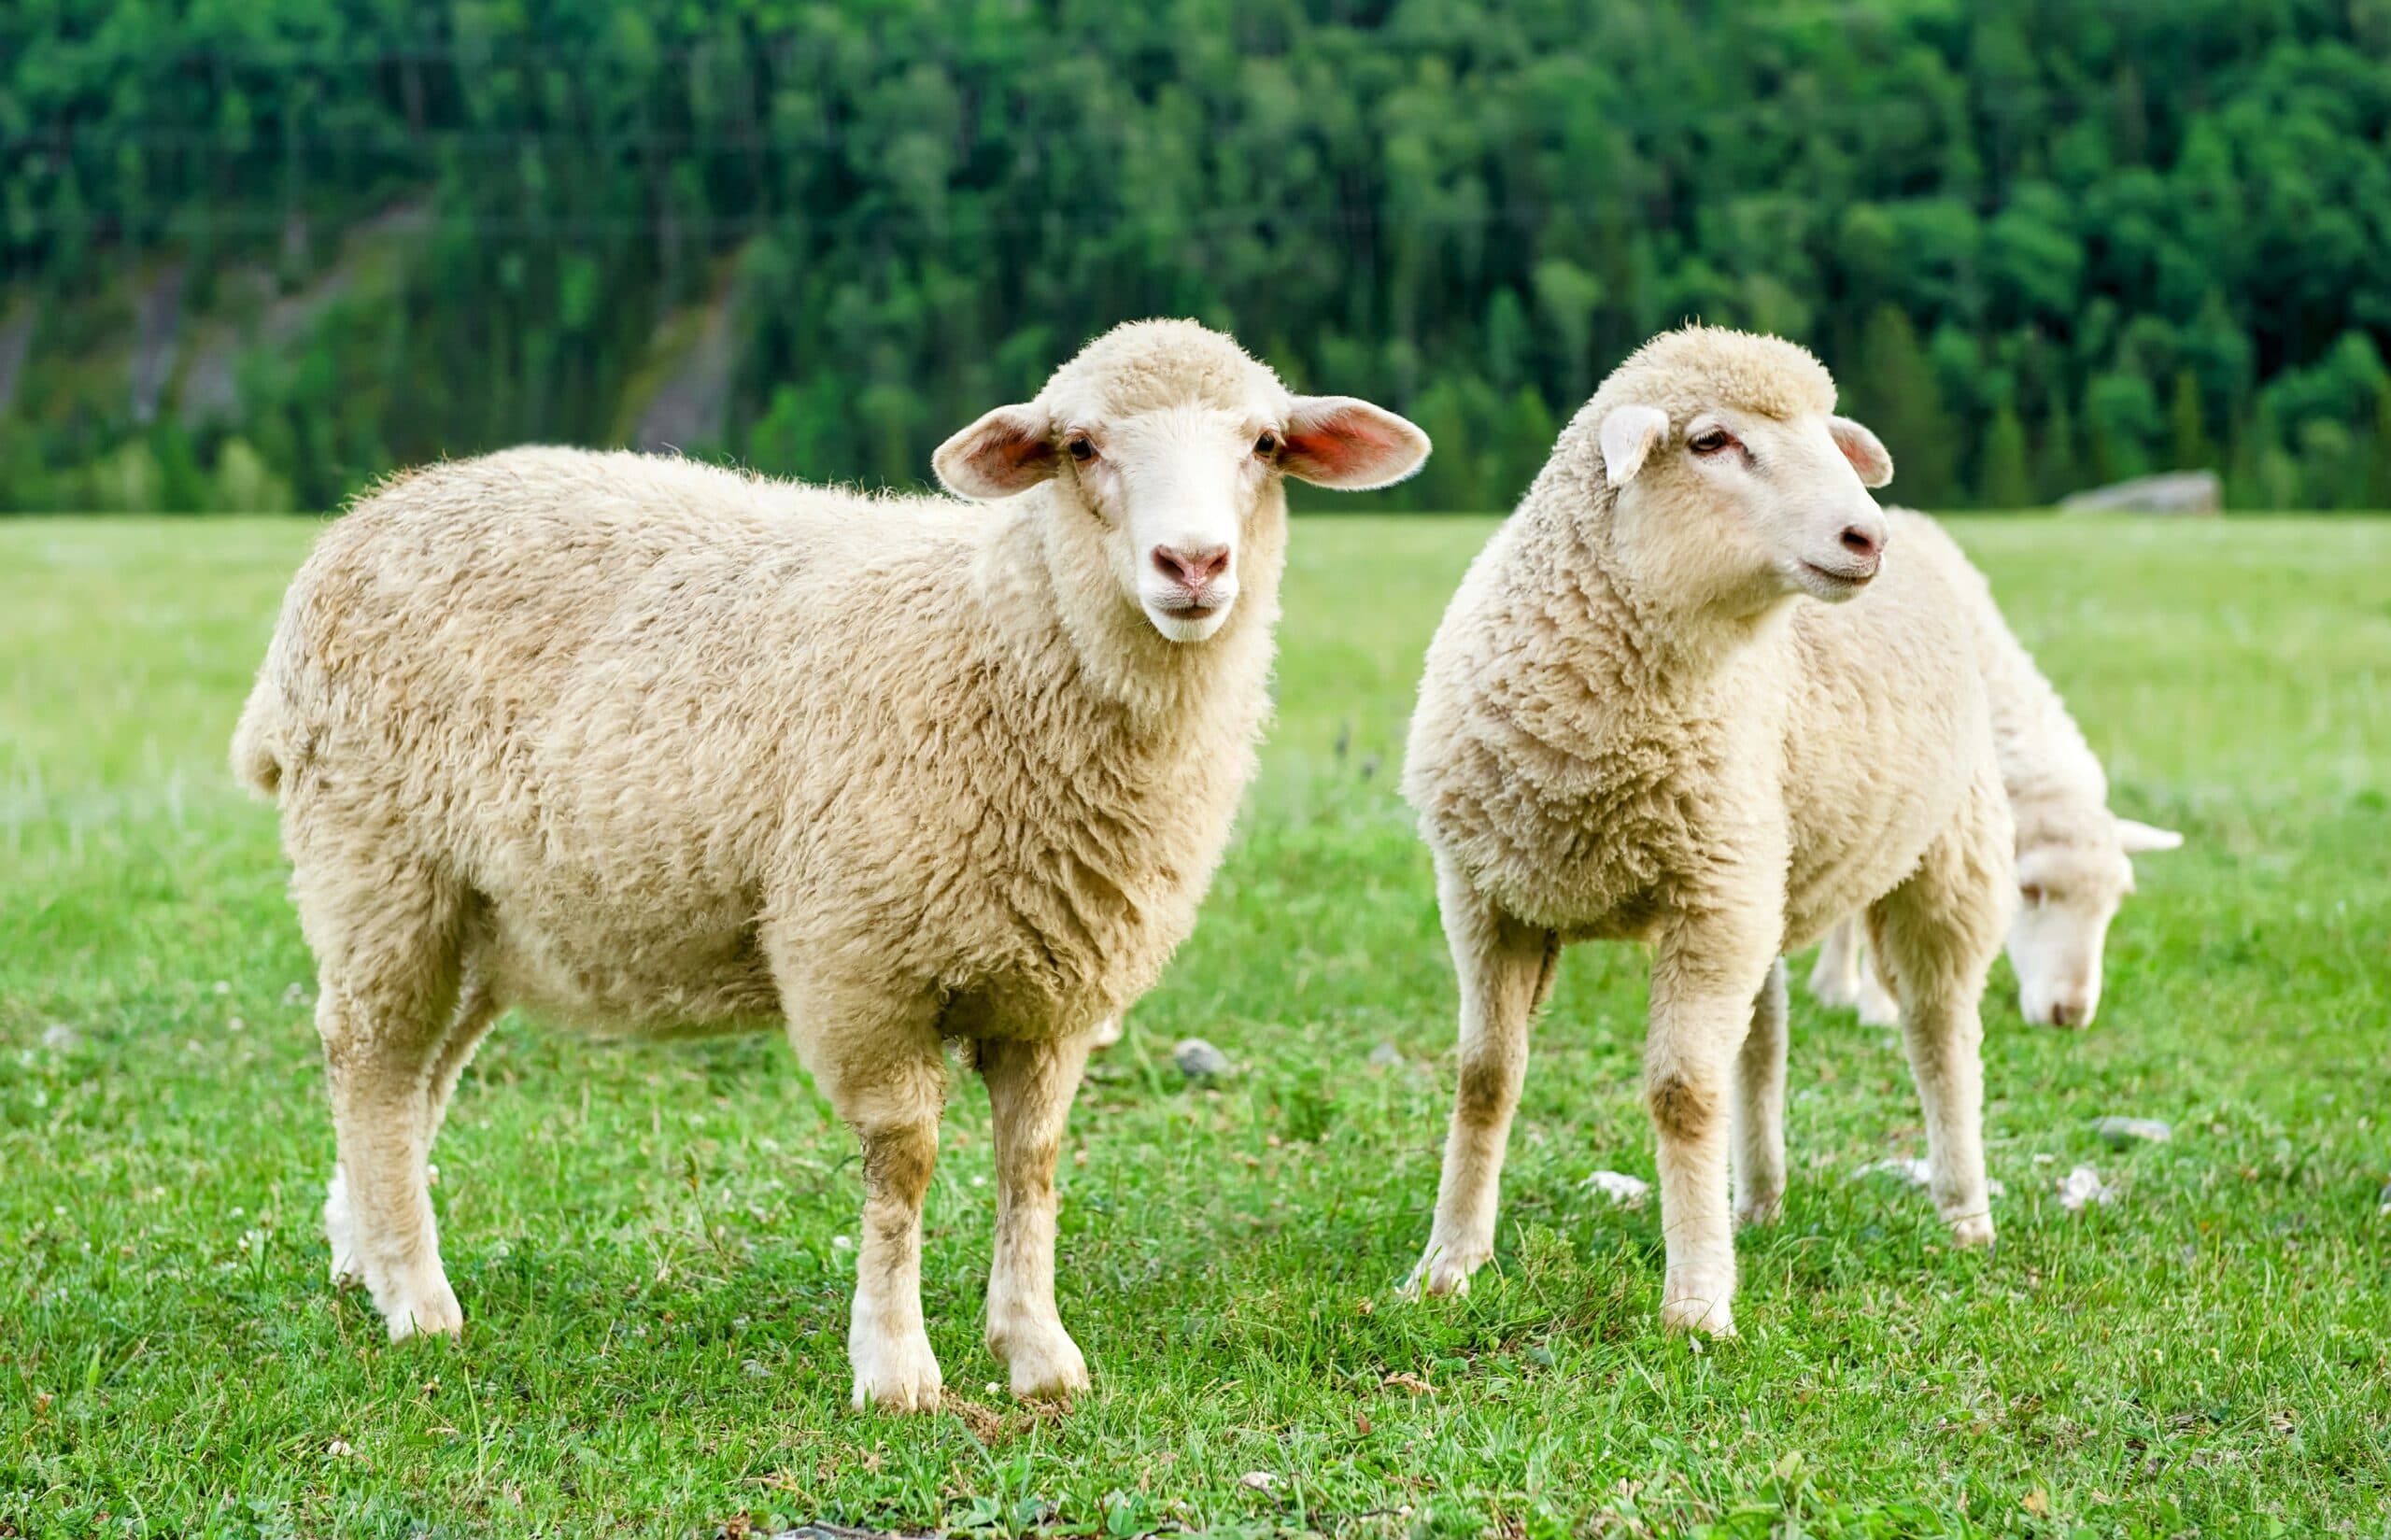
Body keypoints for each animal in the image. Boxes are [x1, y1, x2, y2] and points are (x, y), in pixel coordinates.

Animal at [231, 319, 1429, 1410]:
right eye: (1080, 444)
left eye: (1266, 442)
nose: (1192, 564)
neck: (1003, 639)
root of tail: (363, 520)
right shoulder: (862, 964)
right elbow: (904, 1162)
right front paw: (895, 1368)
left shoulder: (1054, 988)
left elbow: (1032, 1161)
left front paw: (1038, 1353)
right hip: (378, 863)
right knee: (370, 1058)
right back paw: (416, 1300)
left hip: (484, 911)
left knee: (417, 1076)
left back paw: (363, 1248)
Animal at [1398, 326, 2014, 1337]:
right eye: (1711, 441)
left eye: (1829, 436)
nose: (1865, 537)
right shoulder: (1487, 897)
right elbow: (1483, 1077)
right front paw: (1448, 1264)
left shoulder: (1709, 898)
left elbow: (1683, 1094)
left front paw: (1695, 1299)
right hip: (1766, 870)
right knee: (1762, 1041)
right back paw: (1755, 1202)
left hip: (1941, 856)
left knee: (1940, 1031)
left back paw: (1963, 1210)